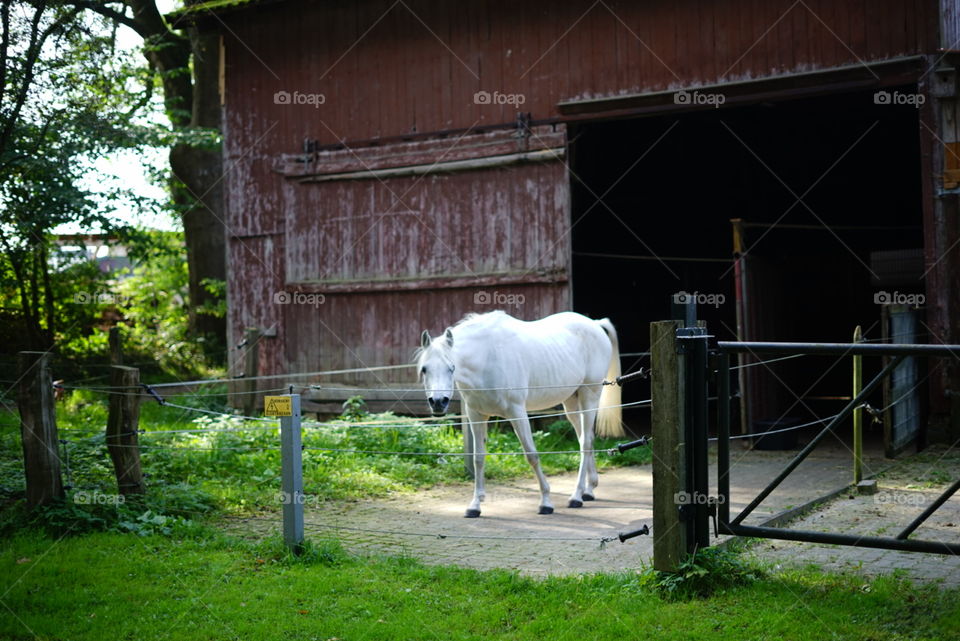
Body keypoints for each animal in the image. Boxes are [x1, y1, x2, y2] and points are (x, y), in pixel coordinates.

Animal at [416, 308, 628, 516]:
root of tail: (595, 324)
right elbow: (478, 458)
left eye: (451, 368)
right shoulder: (476, 415)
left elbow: (531, 455)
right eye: (424, 369)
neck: (488, 357)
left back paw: (576, 496)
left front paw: (546, 502)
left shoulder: (516, 412)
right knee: (585, 437)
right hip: (571, 402)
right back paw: (589, 490)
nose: (438, 402)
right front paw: (475, 505)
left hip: (589, 396)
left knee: (585, 443)